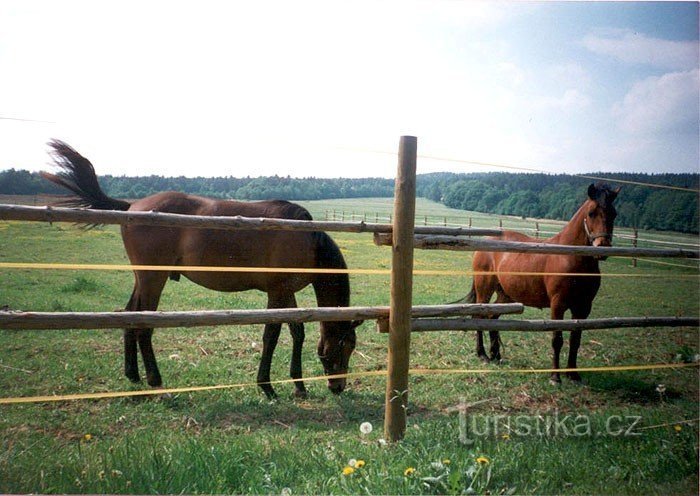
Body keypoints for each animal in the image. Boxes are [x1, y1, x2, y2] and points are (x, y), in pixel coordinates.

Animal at [41, 140, 364, 400]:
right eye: (345, 345)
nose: (338, 387)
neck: (307, 239)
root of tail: (133, 206)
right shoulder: (277, 293)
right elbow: (271, 335)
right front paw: (267, 386)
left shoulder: (285, 293)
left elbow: (297, 331)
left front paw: (298, 385)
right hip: (153, 279)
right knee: (144, 324)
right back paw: (155, 380)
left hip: (142, 278)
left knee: (129, 315)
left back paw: (133, 374)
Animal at [464, 183, 616, 384]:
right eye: (591, 213)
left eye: (614, 213)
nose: (602, 246)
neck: (571, 258)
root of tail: (484, 243)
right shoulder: (558, 304)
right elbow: (557, 339)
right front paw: (555, 377)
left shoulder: (583, 307)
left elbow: (575, 339)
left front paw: (573, 374)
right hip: (484, 290)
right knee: (479, 317)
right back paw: (482, 354)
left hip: (505, 294)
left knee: (492, 318)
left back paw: (496, 354)